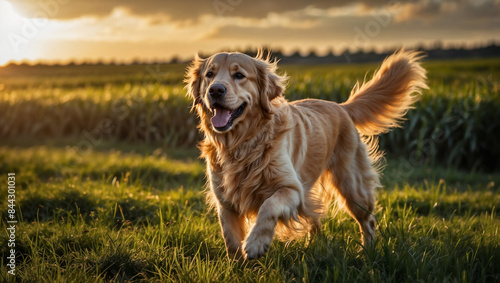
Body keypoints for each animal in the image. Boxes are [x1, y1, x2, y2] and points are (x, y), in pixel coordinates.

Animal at [186, 50, 428, 260]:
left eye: (239, 75)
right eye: (210, 74)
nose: (215, 90)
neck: (242, 144)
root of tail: (342, 107)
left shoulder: (292, 189)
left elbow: (269, 206)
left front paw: (256, 243)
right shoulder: (225, 202)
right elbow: (231, 240)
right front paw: (239, 266)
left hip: (352, 186)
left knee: (368, 221)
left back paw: (367, 252)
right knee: (316, 219)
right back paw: (317, 246)